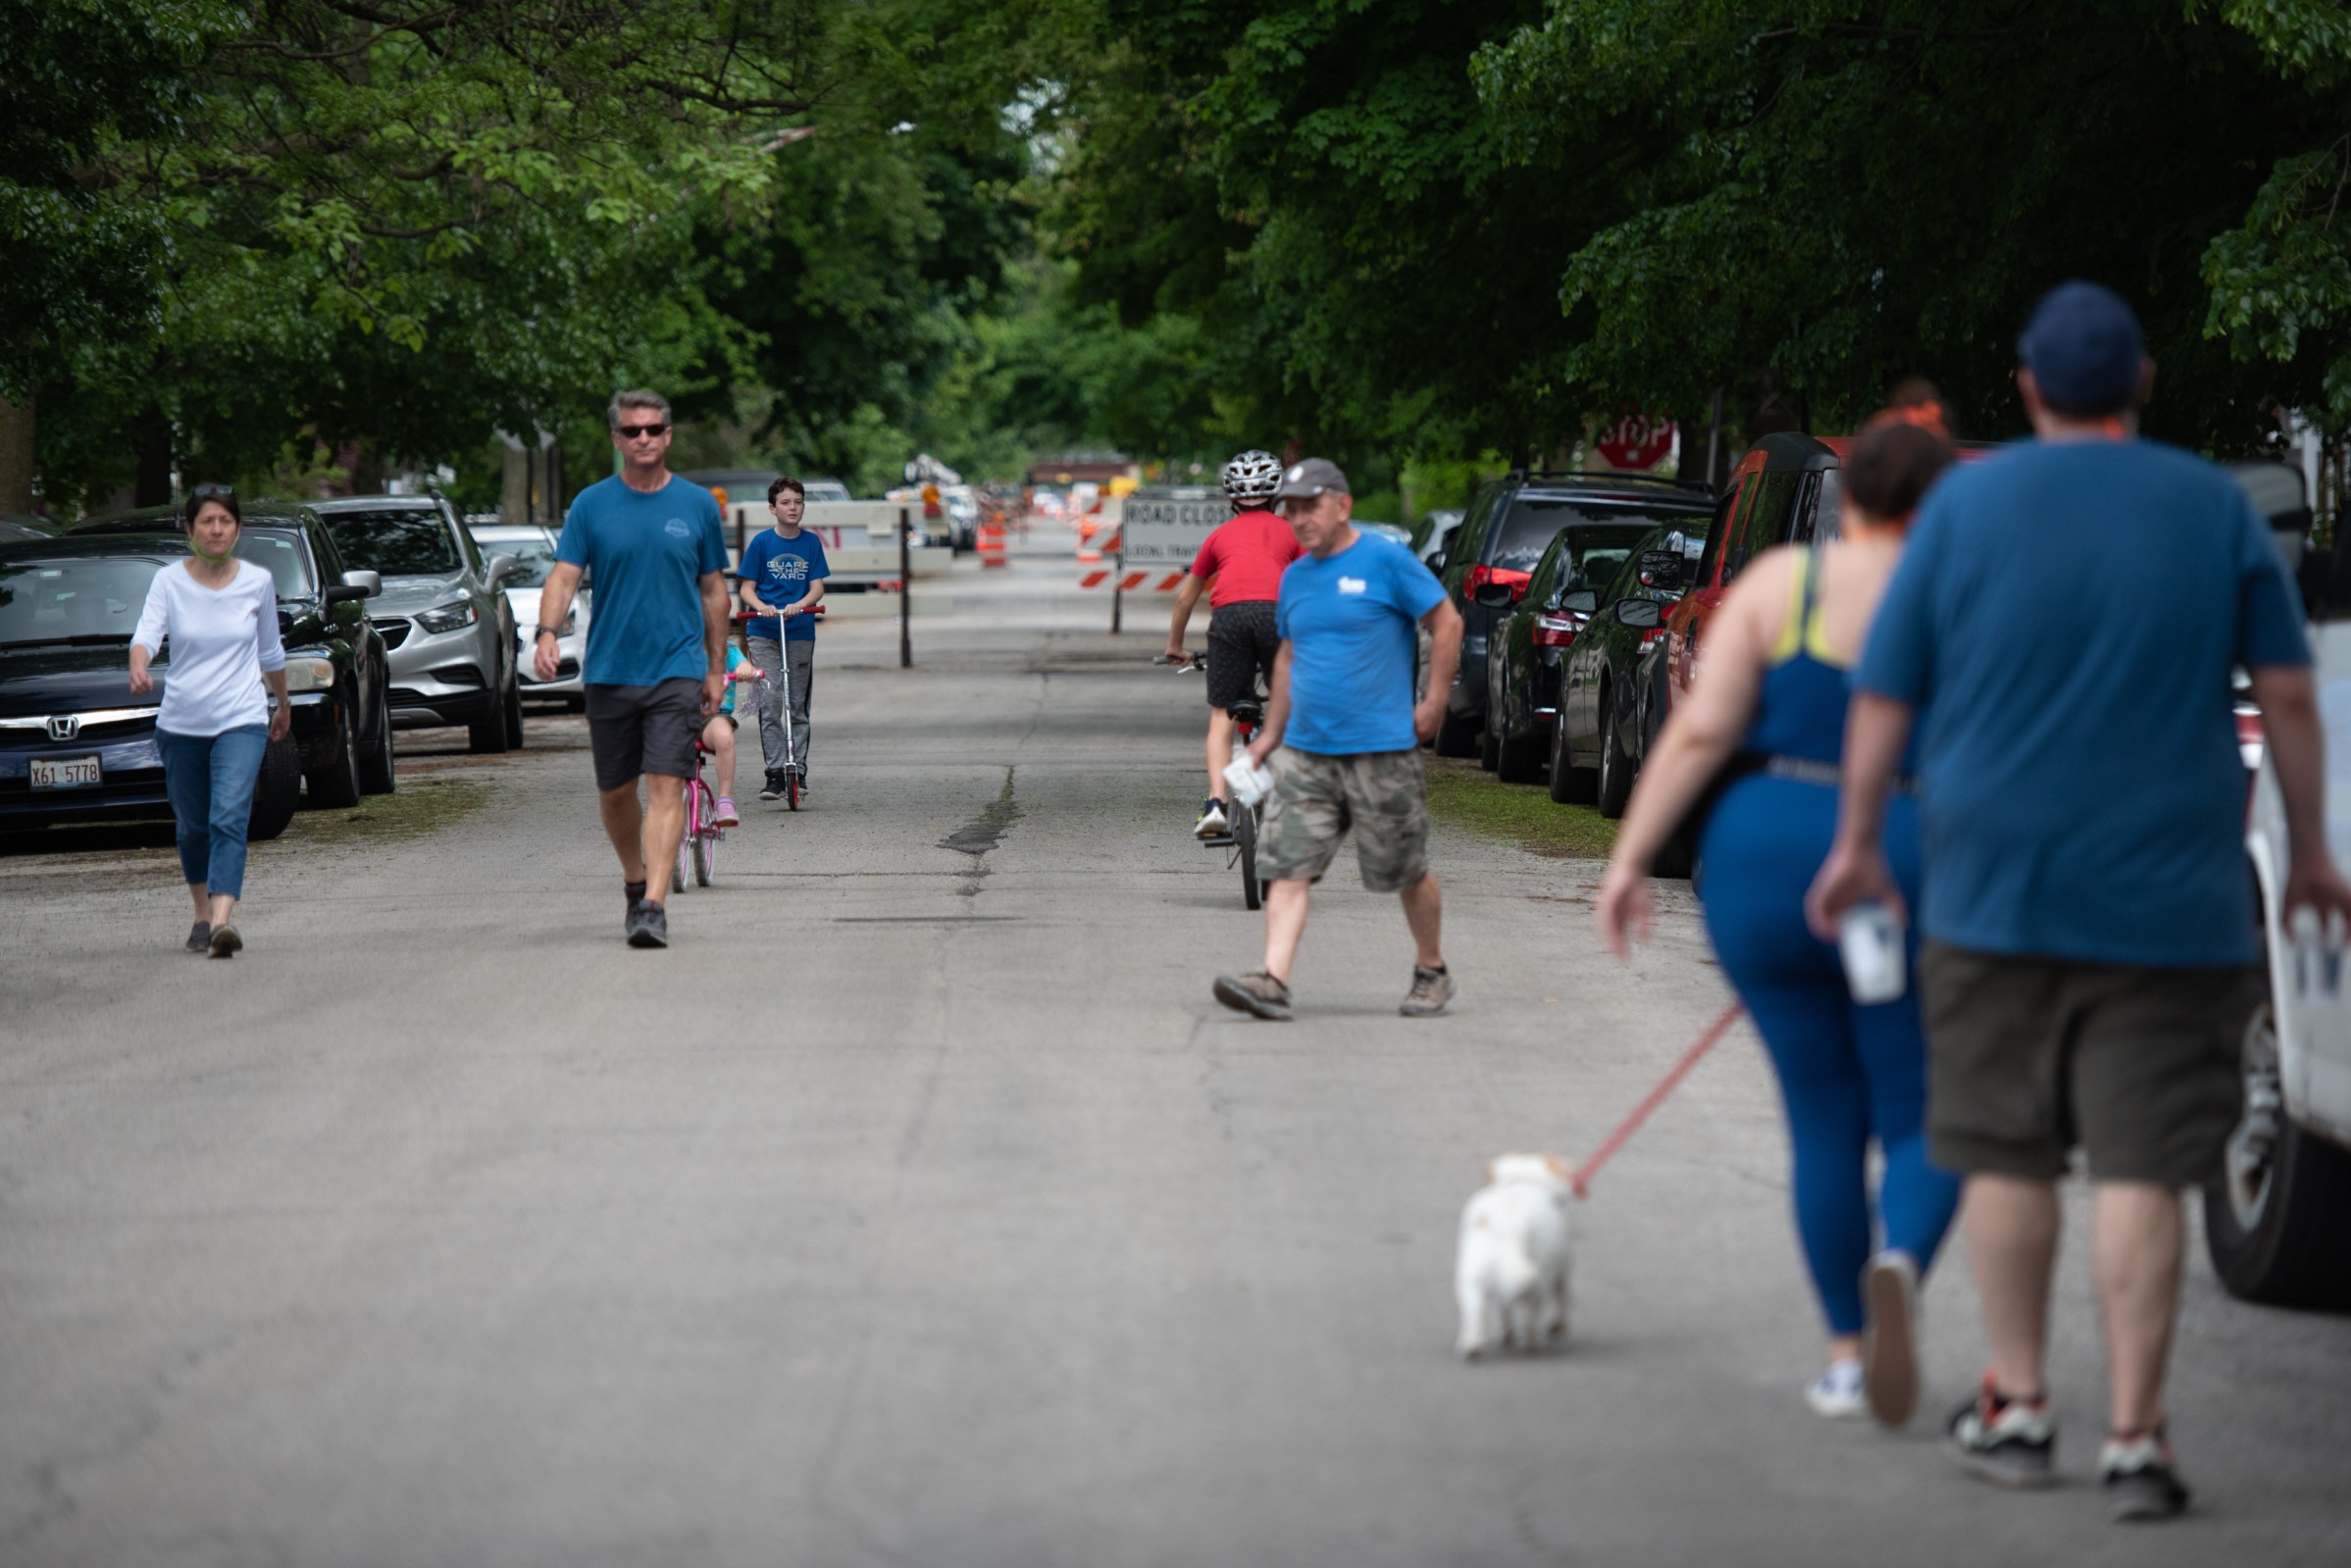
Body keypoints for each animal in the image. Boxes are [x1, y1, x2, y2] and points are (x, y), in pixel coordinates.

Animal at [1448, 1151, 1579, 1363]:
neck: (1521, 1181)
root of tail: (1508, 1227)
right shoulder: (1562, 1269)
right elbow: (1561, 1298)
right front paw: (1557, 1325)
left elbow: (1504, 1308)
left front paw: (1506, 1332)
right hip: (1538, 1283)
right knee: (1530, 1319)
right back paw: (1530, 1345)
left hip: (1472, 1280)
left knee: (1475, 1313)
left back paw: (1472, 1345)